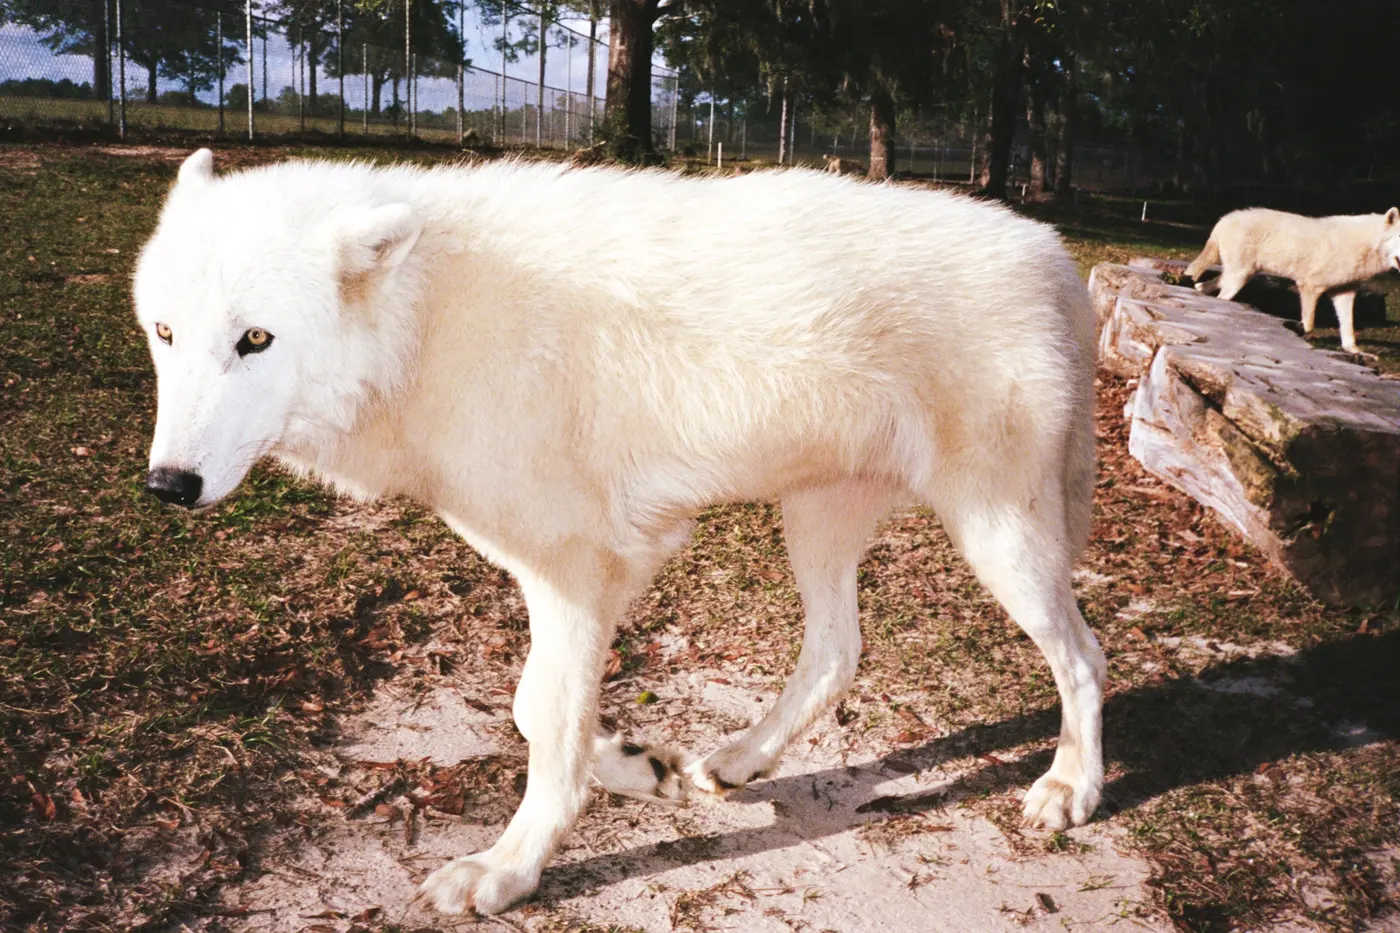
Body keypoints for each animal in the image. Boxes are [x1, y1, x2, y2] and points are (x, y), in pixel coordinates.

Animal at [136, 149, 1105, 916]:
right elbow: (536, 710)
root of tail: (1055, 252)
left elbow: (543, 718)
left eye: (255, 340)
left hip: (999, 539)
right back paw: (740, 760)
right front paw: (639, 766)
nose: (167, 485)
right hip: (815, 522)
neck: (430, 319)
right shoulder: (577, 572)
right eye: (165, 332)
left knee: (1085, 656)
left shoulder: (579, 571)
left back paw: (1070, 788)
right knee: (839, 651)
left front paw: (507, 870)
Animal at [1185, 207, 1400, 353]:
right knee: (1219, 296)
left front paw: (1354, 351)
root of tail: (1224, 219)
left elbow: (1348, 327)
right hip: (1238, 279)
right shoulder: (1310, 287)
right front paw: (1302, 335)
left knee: (1202, 285)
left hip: (1237, 276)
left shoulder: (1344, 293)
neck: (1367, 245)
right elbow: (1309, 323)